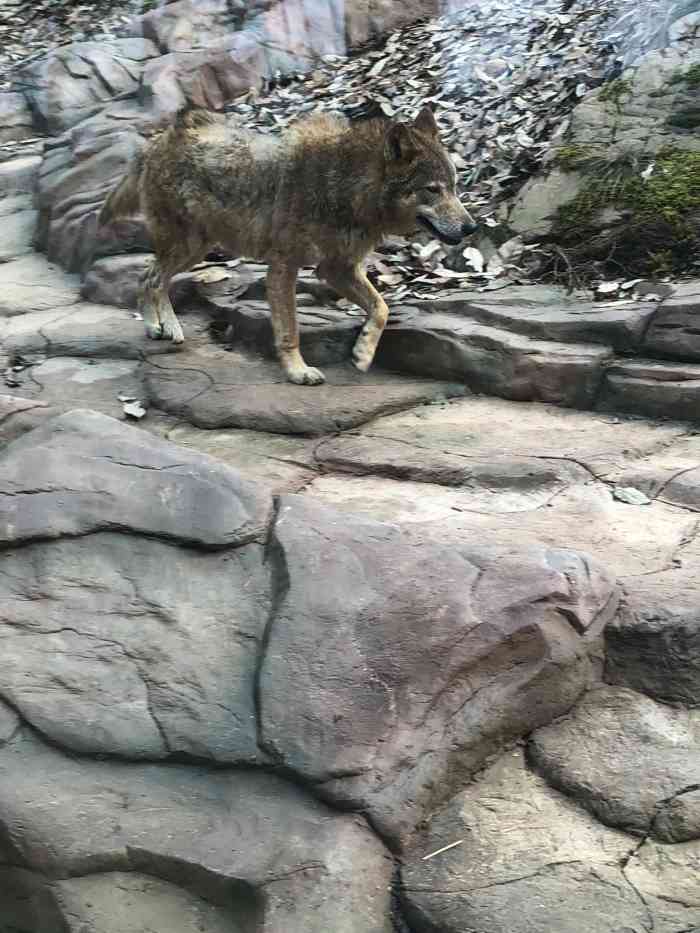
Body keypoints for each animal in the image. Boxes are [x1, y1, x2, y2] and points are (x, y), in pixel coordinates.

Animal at [98, 105, 476, 386]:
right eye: (433, 190)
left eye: (455, 186)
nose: (472, 226)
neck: (346, 187)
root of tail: (157, 140)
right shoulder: (284, 267)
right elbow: (290, 329)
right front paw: (298, 372)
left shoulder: (336, 269)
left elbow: (381, 308)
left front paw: (362, 353)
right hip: (188, 246)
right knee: (151, 279)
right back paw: (165, 328)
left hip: (195, 247)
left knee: (148, 276)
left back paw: (160, 327)